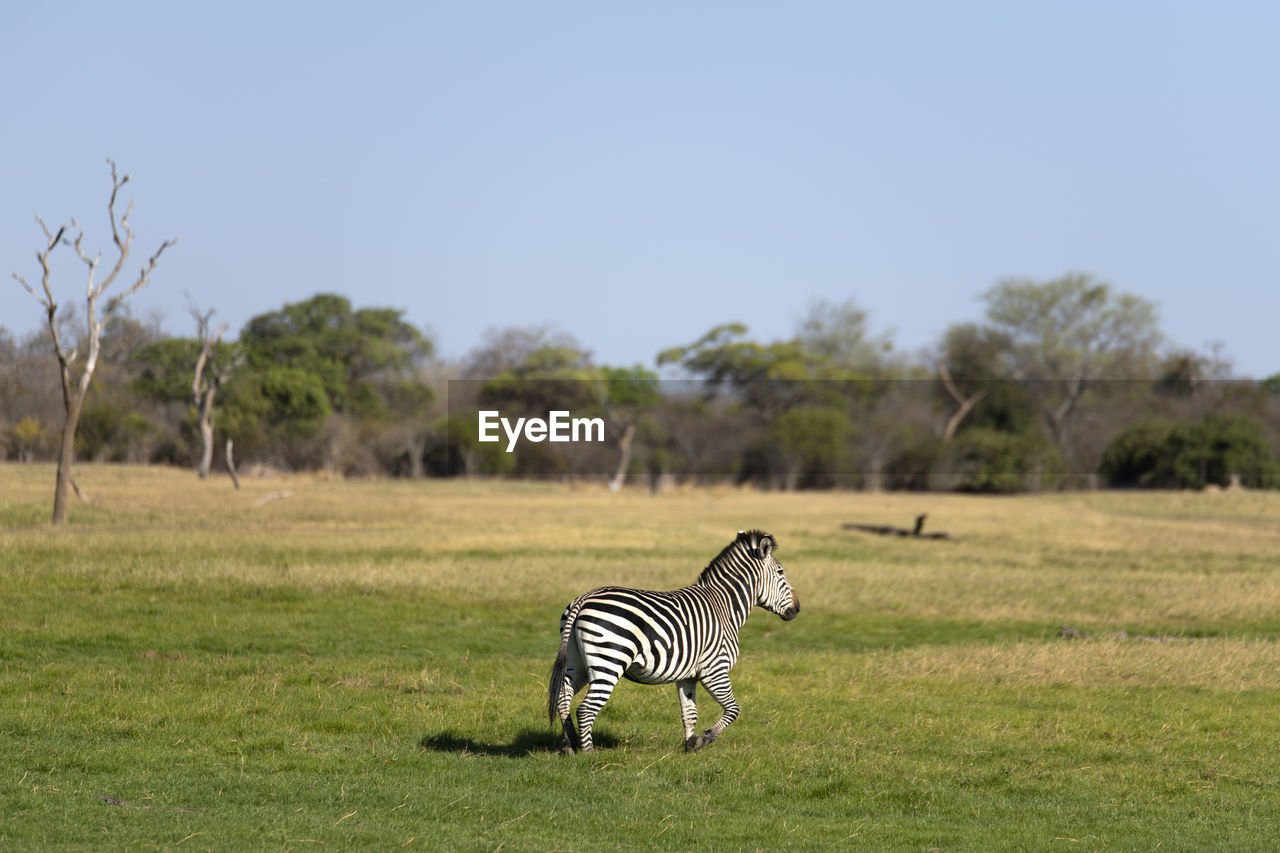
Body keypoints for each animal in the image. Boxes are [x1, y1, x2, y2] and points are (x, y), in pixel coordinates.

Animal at [547, 527, 798, 753]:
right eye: (780, 572)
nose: (796, 609)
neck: (724, 606)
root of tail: (583, 598)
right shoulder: (715, 668)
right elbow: (733, 709)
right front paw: (703, 739)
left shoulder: (688, 676)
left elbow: (690, 713)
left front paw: (689, 746)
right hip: (609, 661)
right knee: (586, 709)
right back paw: (588, 754)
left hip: (578, 663)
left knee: (563, 697)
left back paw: (568, 746)